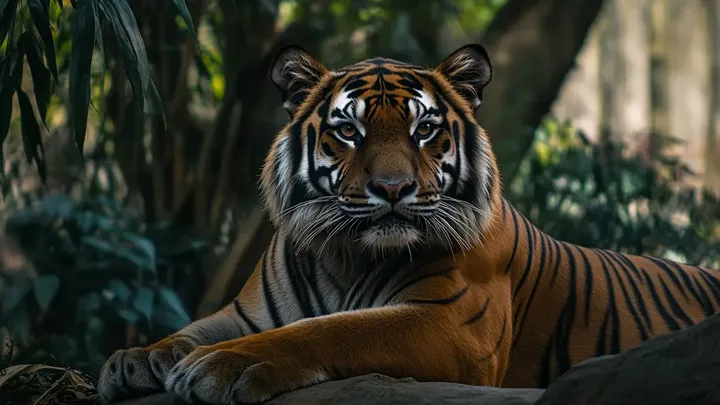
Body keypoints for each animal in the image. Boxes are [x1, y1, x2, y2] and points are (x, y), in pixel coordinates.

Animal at [97, 43, 720, 405]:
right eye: (348, 131)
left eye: (425, 130)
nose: (394, 189)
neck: (345, 256)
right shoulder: (246, 312)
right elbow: (192, 329)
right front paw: (135, 360)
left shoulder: (449, 323)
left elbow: (332, 330)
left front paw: (223, 365)